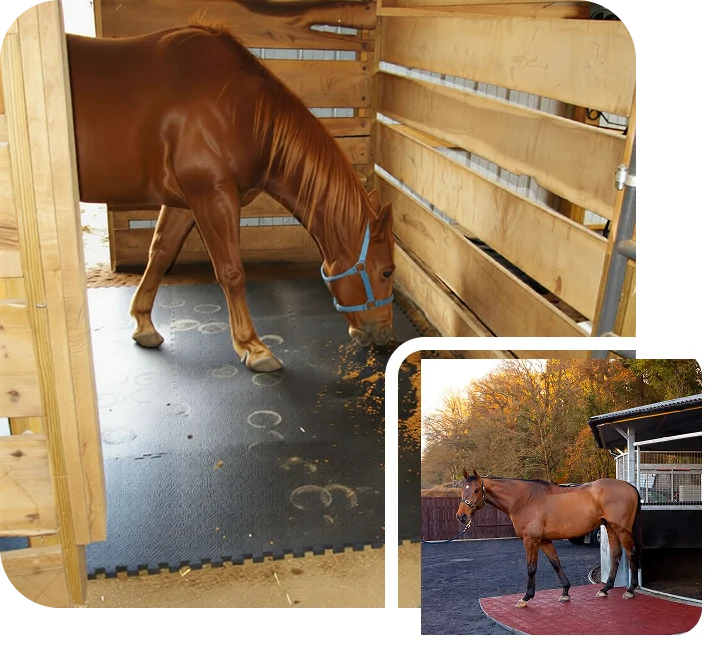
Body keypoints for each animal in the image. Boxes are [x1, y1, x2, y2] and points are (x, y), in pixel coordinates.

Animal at [65, 16, 396, 374]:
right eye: (387, 271)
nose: (385, 332)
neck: (237, 110)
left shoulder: (184, 203)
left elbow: (161, 253)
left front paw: (144, 325)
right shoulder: (213, 196)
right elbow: (232, 272)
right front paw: (254, 347)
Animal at [457, 467, 642, 608]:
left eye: (476, 490)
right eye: (462, 490)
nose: (461, 516)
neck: (524, 500)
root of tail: (630, 486)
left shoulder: (530, 540)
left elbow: (531, 568)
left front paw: (526, 597)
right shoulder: (544, 540)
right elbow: (555, 563)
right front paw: (565, 592)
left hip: (622, 529)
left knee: (632, 553)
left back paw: (630, 590)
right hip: (610, 527)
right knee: (616, 555)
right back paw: (605, 589)